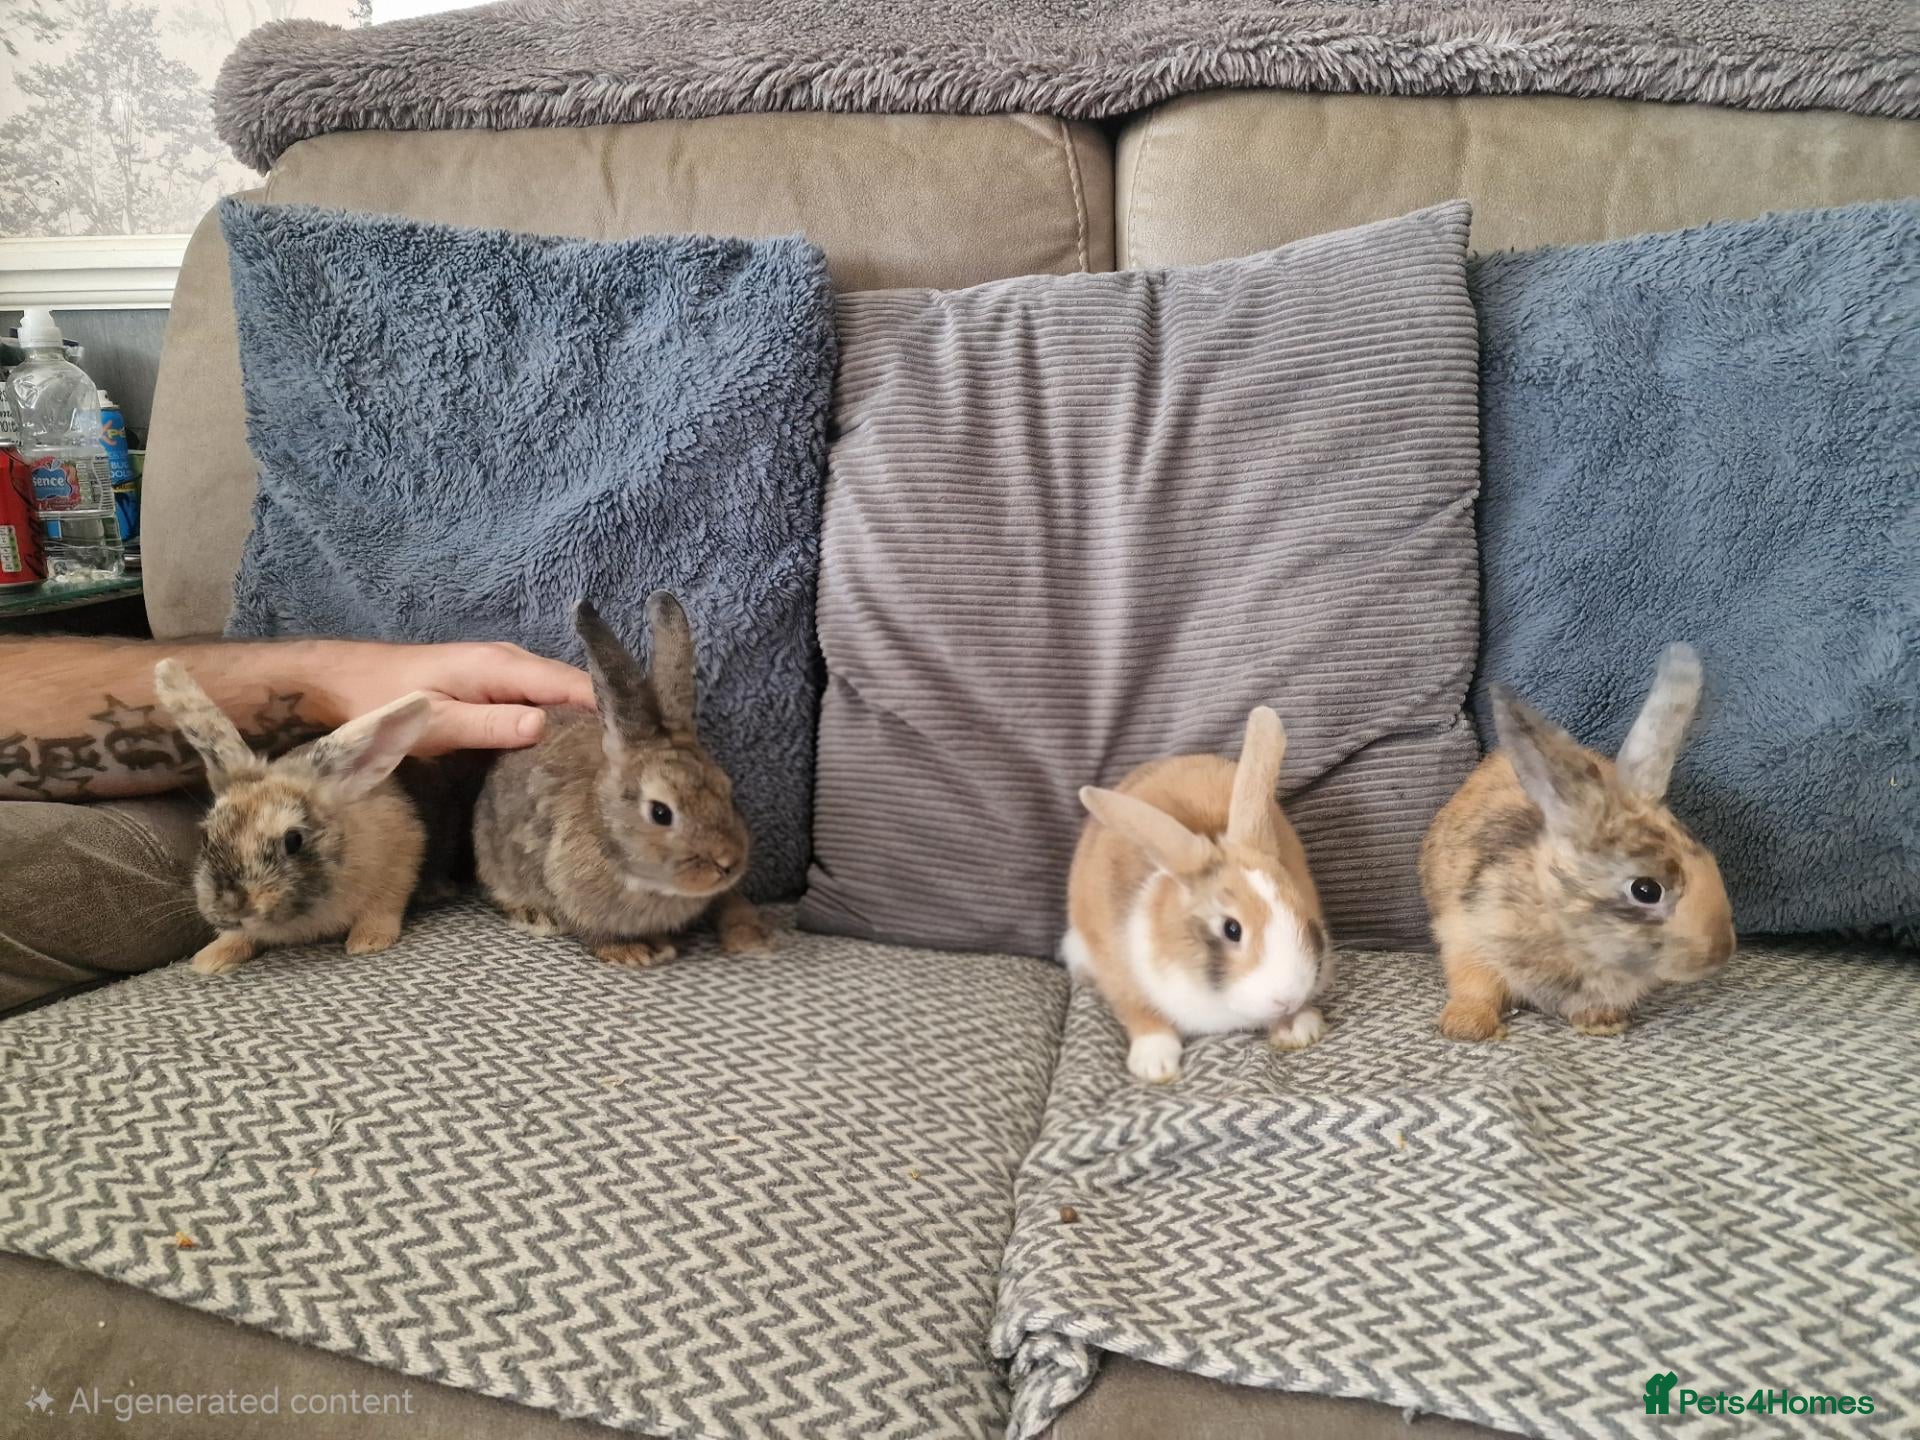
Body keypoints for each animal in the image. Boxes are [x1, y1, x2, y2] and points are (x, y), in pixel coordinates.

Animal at [152, 659, 434, 976]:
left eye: (293, 840)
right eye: (205, 838)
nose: (230, 908)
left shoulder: (400, 863)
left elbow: (381, 908)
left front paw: (368, 942)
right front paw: (211, 959)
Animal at [1063, 706, 1330, 1084]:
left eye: (1301, 909)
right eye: (1231, 929)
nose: (1288, 997)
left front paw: (1298, 1027)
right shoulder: (1118, 971)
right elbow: (1138, 1012)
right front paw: (1155, 1064)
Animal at [1420, 643, 1736, 1043]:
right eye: (1646, 890)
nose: (1722, 952)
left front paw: (1601, 1022)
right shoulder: (1468, 937)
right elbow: (1476, 986)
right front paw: (1467, 1026)